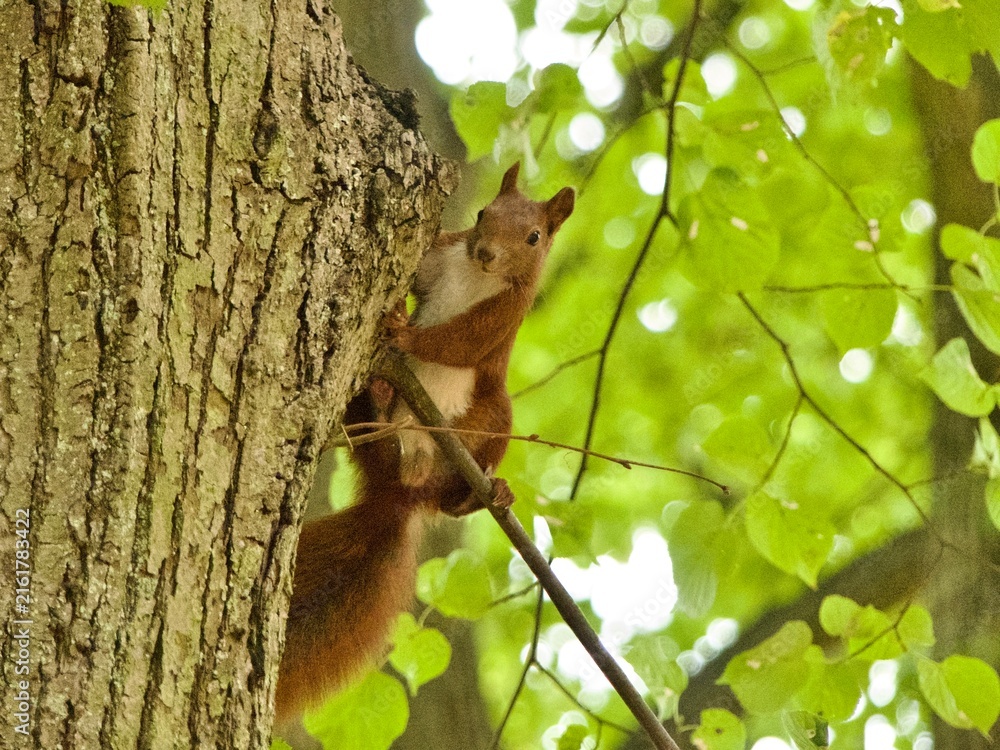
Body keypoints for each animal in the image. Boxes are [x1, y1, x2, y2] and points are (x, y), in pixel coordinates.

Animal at [274, 163, 575, 724]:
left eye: (534, 237)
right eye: (481, 214)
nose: (485, 252)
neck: (476, 276)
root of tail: (404, 486)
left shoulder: (504, 316)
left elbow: (456, 342)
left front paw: (404, 333)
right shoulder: (443, 254)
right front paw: (393, 306)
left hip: (491, 419)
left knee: (450, 494)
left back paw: (484, 494)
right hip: (378, 433)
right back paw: (379, 396)